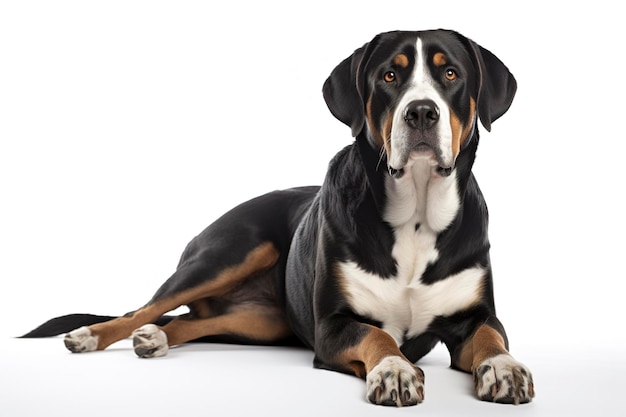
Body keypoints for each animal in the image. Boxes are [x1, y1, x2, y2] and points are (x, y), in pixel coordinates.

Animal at [24, 29, 532, 406]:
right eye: (390, 75)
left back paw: (155, 339)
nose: (422, 112)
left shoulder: (475, 315)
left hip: (262, 322)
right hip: (229, 252)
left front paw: (505, 369)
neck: (417, 216)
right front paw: (393, 371)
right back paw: (89, 334)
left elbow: (493, 338)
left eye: (450, 73)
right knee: (142, 309)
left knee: (188, 321)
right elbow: (378, 339)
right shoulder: (333, 326)